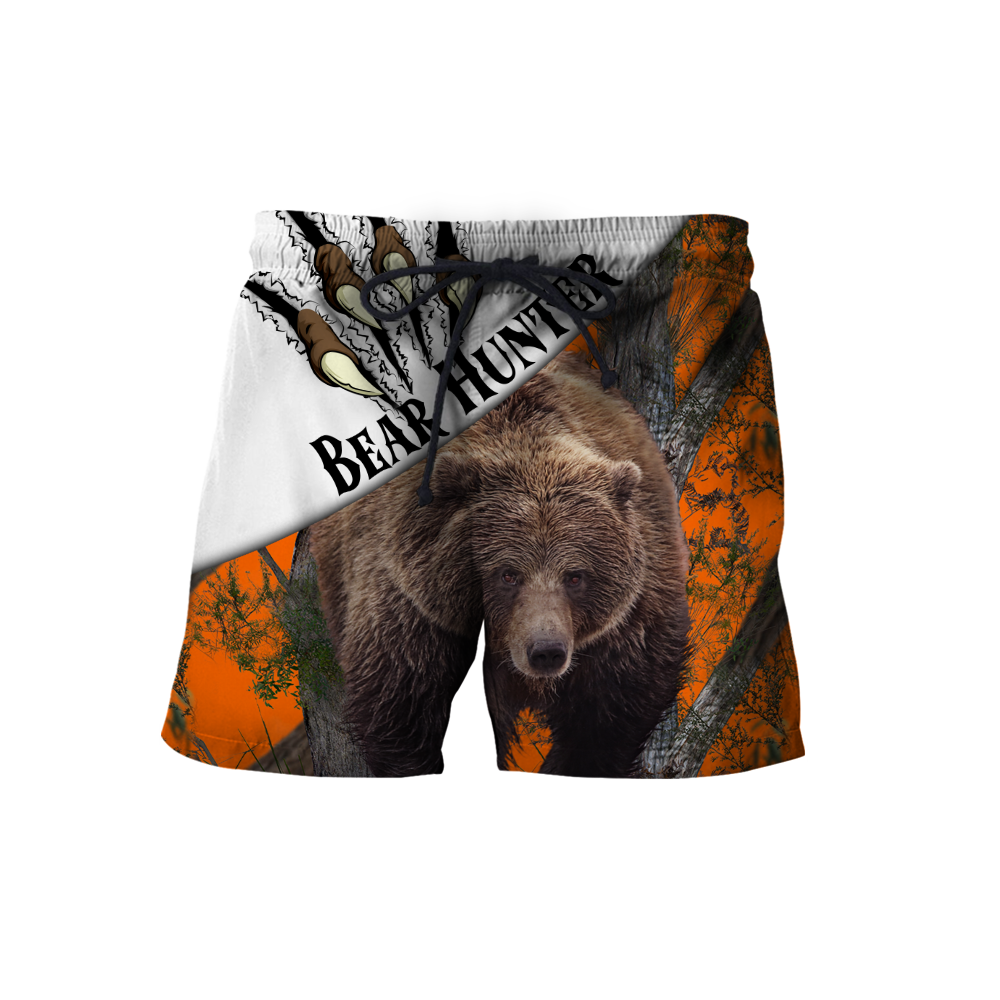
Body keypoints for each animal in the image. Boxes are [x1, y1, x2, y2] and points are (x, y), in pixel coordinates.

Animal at [309, 350, 690, 777]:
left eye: (575, 576)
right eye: (507, 574)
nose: (546, 650)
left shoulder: (629, 615)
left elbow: (613, 708)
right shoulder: (417, 612)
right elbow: (414, 715)